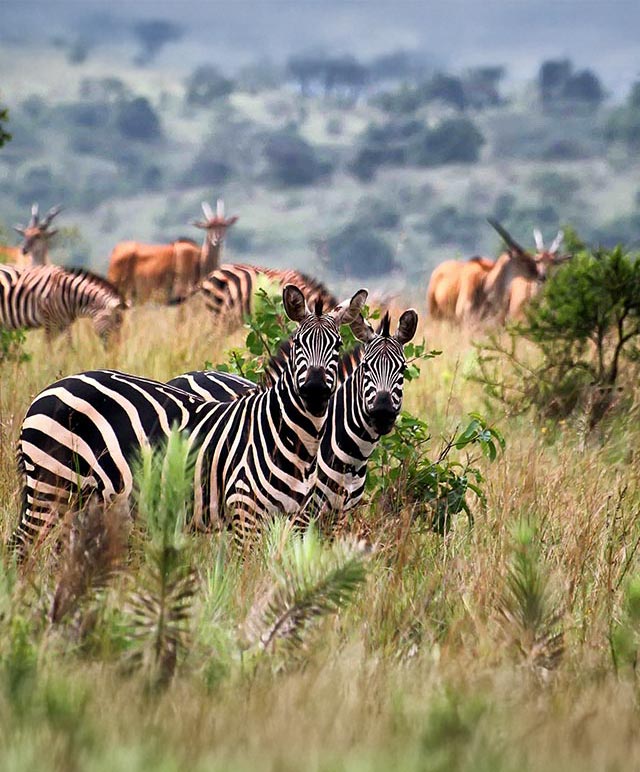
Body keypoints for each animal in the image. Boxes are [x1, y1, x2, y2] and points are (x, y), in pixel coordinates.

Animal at [0, 264, 128, 342]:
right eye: (115, 325)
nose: (115, 352)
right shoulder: (50, 322)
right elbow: (51, 348)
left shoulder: (64, 323)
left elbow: (68, 347)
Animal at [12, 285, 368, 556]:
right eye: (297, 344)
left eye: (337, 345)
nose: (315, 389)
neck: (291, 438)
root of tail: (49, 389)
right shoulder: (246, 513)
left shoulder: (292, 520)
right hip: (52, 482)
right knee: (22, 546)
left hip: (79, 497)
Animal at [107, 199, 238, 304]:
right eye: (208, 227)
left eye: (224, 226)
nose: (218, 239)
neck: (199, 260)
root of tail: (116, 250)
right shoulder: (181, 294)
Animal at [166, 308, 419, 522]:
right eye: (366, 367)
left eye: (403, 369)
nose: (383, 413)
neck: (353, 456)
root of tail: (184, 375)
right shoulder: (302, 512)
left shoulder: (337, 517)